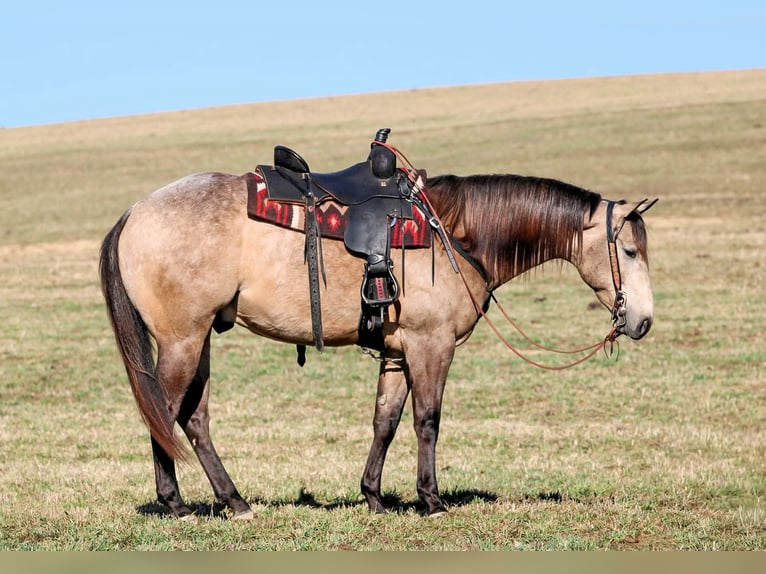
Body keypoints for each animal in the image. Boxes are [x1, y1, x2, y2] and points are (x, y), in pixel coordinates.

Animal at [99, 166, 656, 519]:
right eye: (629, 250)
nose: (644, 321)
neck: (456, 235)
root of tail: (133, 212)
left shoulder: (397, 352)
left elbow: (385, 421)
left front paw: (373, 496)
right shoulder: (432, 346)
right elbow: (427, 421)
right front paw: (431, 500)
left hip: (200, 340)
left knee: (194, 419)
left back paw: (235, 502)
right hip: (182, 340)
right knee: (164, 410)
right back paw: (175, 504)